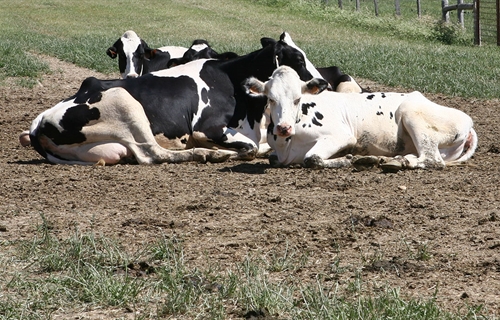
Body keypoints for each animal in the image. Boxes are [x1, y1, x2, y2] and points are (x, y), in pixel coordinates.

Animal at [23, 33, 316, 166]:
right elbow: (251, 147)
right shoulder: (206, 128)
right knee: (153, 153)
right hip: (125, 101)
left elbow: (261, 145)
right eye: (299, 59)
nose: (322, 82)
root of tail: (39, 121)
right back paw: (207, 153)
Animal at [244, 66, 478, 171]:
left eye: (297, 99)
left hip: (412, 114)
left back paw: (398, 161)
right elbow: (273, 158)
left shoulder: (341, 136)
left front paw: (346, 159)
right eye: (270, 99)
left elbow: (312, 158)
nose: (283, 127)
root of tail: (468, 121)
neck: (286, 145)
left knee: (432, 160)